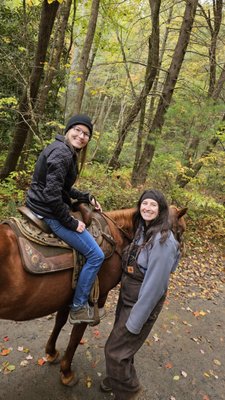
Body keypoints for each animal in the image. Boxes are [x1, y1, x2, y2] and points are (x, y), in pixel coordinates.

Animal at [0, 205, 186, 386]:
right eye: (181, 230)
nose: (177, 257)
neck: (115, 236)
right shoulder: (89, 302)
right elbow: (76, 336)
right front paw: (67, 373)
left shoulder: (68, 298)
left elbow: (60, 322)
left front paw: (51, 353)